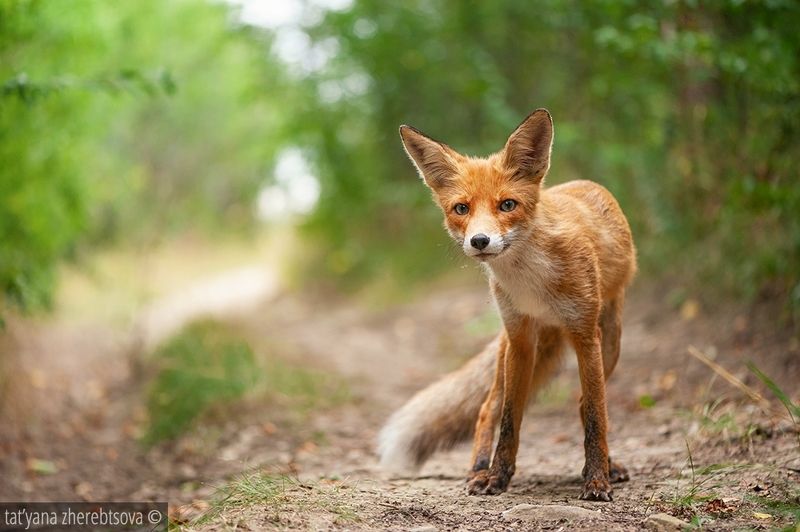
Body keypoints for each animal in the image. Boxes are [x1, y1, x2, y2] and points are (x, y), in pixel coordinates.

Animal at [378, 109, 637, 501]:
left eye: (507, 205)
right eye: (461, 209)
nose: (480, 241)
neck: (533, 283)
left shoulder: (583, 333)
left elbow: (596, 415)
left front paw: (596, 480)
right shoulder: (520, 338)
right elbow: (509, 420)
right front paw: (496, 477)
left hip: (609, 339)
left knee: (583, 403)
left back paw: (608, 465)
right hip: (511, 350)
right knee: (487, 408)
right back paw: (477, 469)